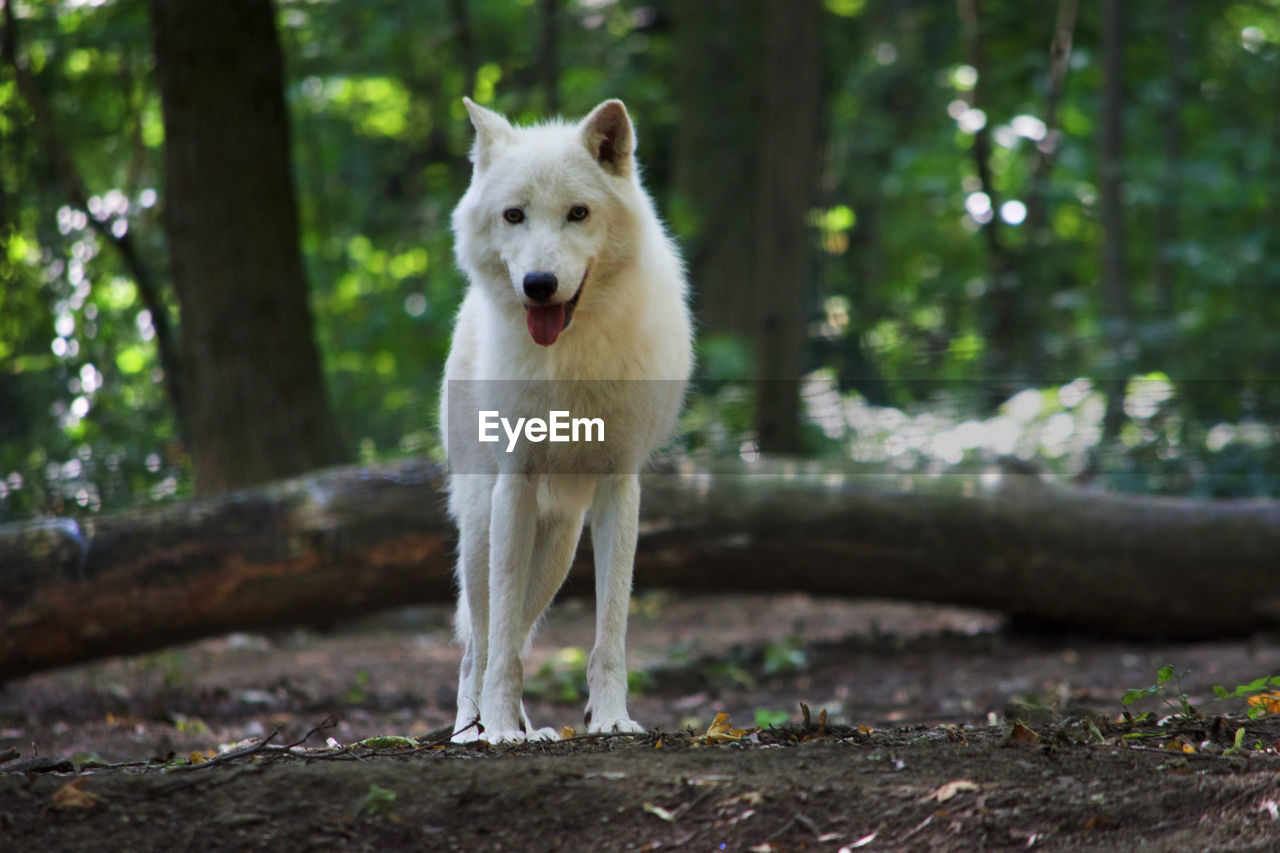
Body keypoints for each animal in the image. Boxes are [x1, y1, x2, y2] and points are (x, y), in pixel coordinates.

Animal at [445, 97, 696, 737]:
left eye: (577, 213)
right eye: (514, 216)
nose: (539, 285)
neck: (571, 358)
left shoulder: (619, 487)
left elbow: (609, 632)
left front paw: (610, 720)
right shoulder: (514, 486)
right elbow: (499, 641)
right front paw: (500, 731)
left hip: (557, 550)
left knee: (515, 632)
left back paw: (525, 727)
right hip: (483, 527)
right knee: (478, 644)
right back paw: (476, 730)